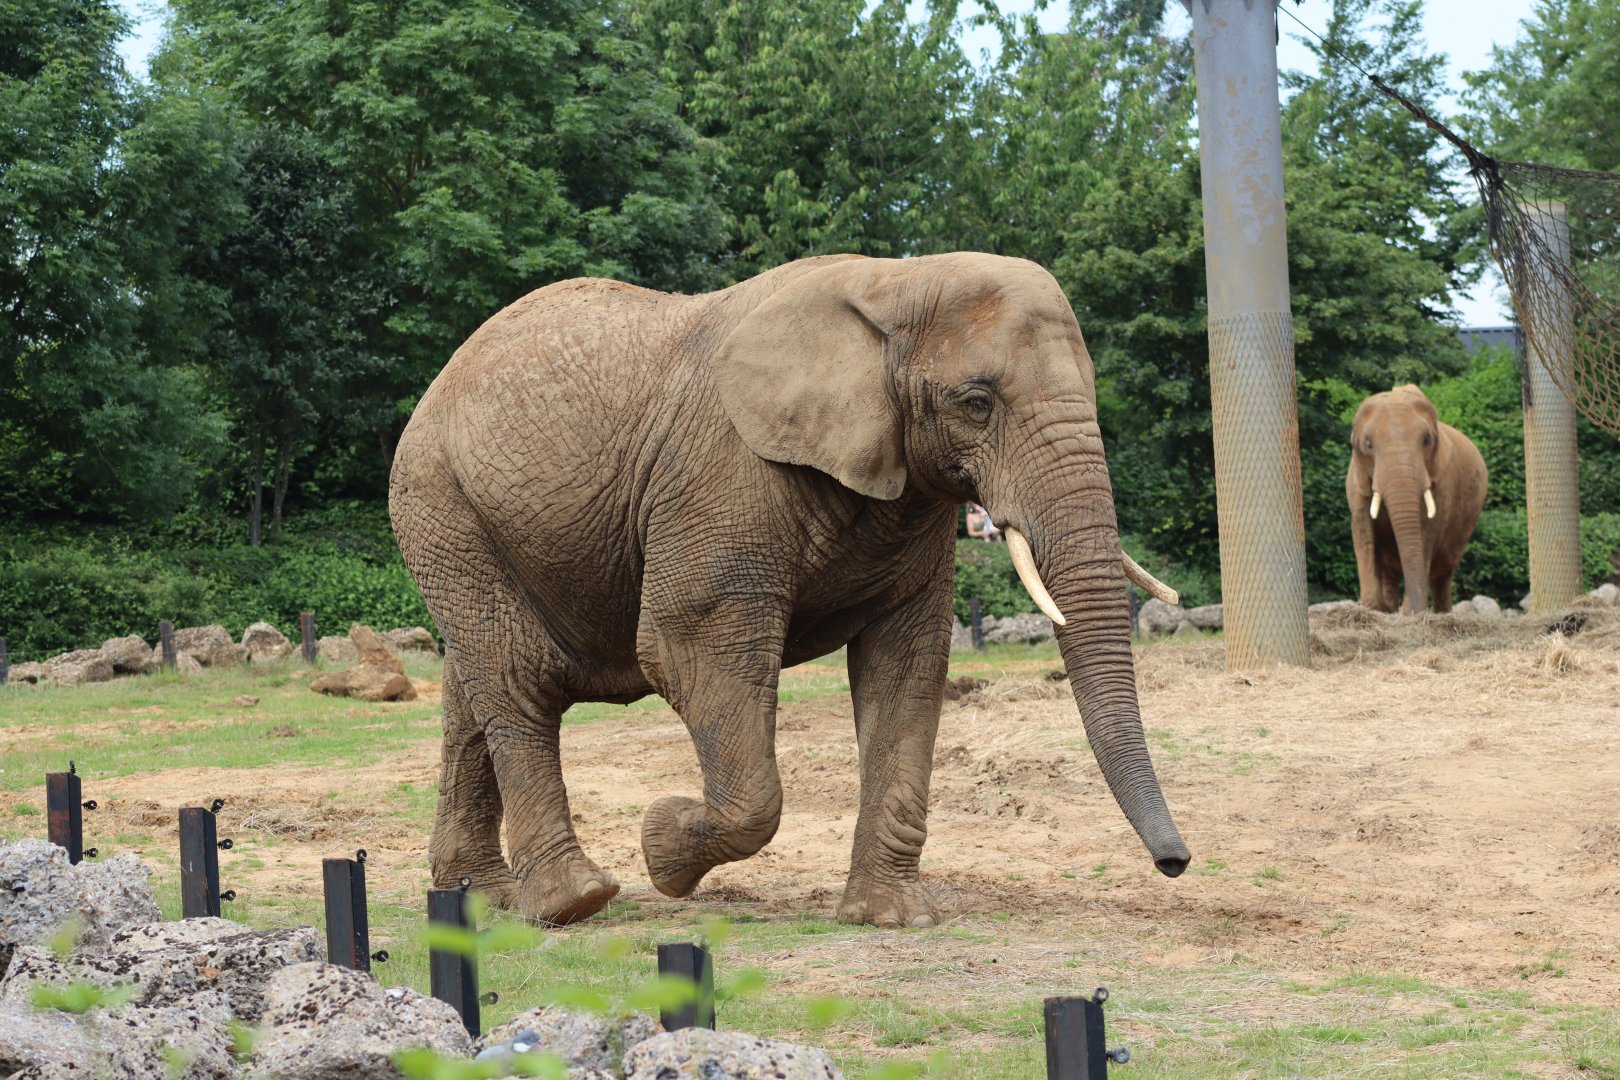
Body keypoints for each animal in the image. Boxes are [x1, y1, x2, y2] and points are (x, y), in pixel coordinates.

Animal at [389, 252, 1191, 928]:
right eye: (976, 402)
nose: (1176, 863)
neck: (898, 282)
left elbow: (907, 664)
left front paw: (888, 919)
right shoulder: (723, 477)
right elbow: (684, 643)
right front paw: (661, 850)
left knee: (470, 692)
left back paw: (481, 899)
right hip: (440, 504)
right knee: (517, 677)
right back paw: (573, 903)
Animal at [1346, 384, 1488, 613]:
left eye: (1427, 440)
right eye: (1368, 444)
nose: (1418, 608)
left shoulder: (1442, 482)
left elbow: (1426, 534)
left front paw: (1409, 614)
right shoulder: (1356, 482)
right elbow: (1363, 531)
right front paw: (1372, 608)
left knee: (1443, 573)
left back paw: (1440, 613)